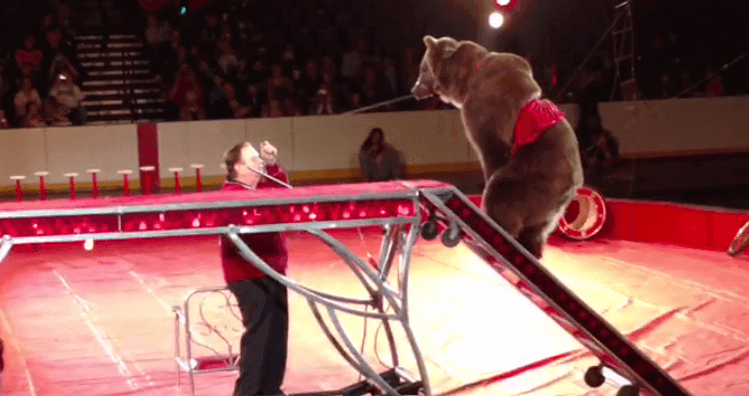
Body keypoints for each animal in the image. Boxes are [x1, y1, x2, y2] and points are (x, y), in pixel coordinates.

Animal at [412, 35, 580, 258]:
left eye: (422, 69)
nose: (414, 89)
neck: (467, 77)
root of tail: (572, 185)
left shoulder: (483, 109)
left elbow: (491, 150)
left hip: (534, 177)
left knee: (501, 195)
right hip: (551, 207)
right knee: (538, 228)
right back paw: (532, 248)